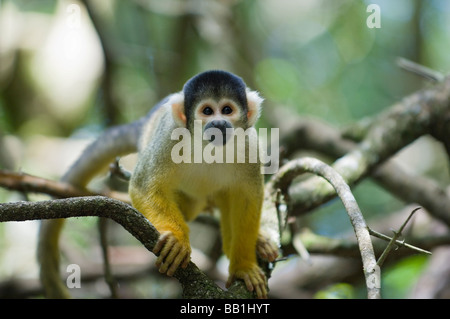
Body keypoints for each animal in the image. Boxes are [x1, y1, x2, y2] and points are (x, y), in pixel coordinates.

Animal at [38, 70, 278, 300]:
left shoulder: (250, 145)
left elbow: (247, 198)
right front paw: (177, 240)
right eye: (208, 111)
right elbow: (143, 185)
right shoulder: (169, 136)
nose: (218, 123)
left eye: (227, 110)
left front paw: (243, 268)